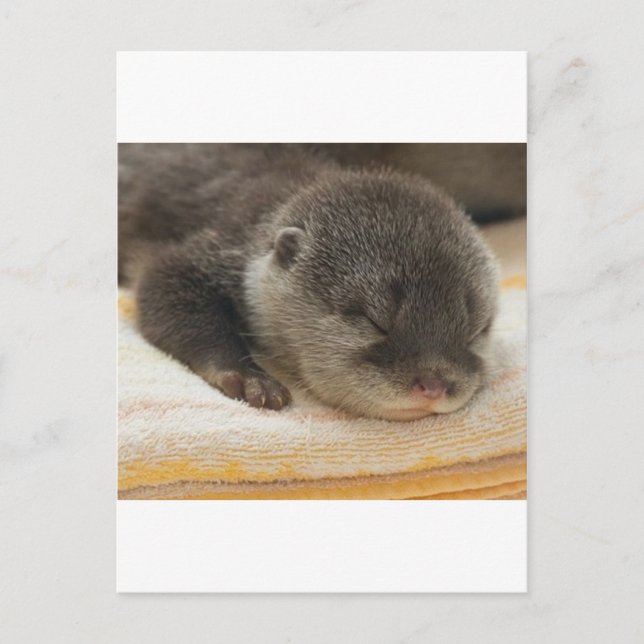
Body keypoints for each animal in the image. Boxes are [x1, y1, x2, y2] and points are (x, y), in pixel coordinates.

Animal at [119, 144, 499, 421]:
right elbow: (161, 285)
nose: (434, 385)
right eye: (374, 321)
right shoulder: (215, 246)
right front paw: (249, 378)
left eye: (474, 331)